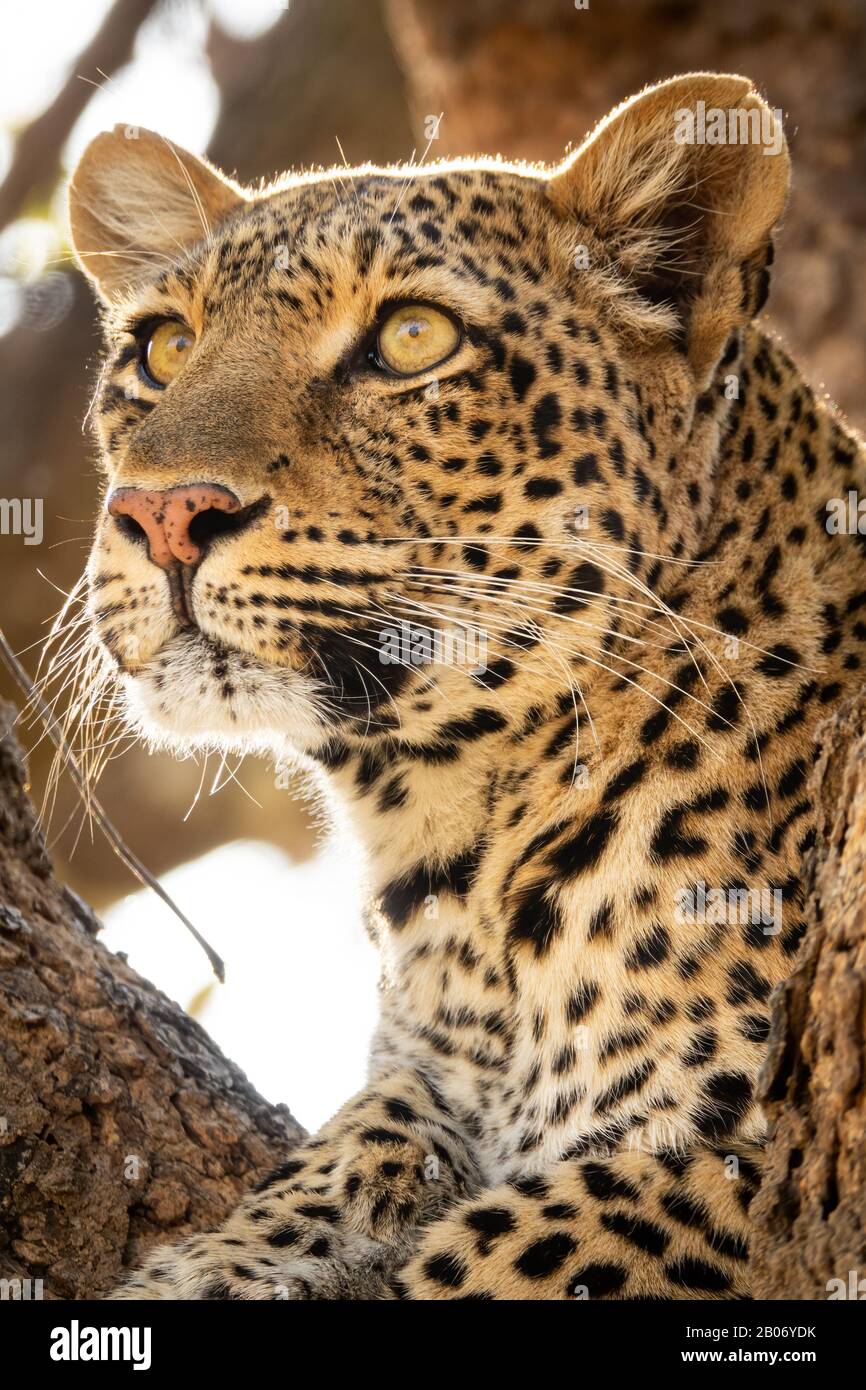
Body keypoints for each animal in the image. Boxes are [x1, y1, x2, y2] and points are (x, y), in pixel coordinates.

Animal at [66, 70, 866, 1295]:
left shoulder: (742, 1161)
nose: (161, 513)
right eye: (161, 348)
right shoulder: (428, 1074)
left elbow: (512, 1248)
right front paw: (222, 1261)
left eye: (411, 339)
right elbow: (362, 1143)